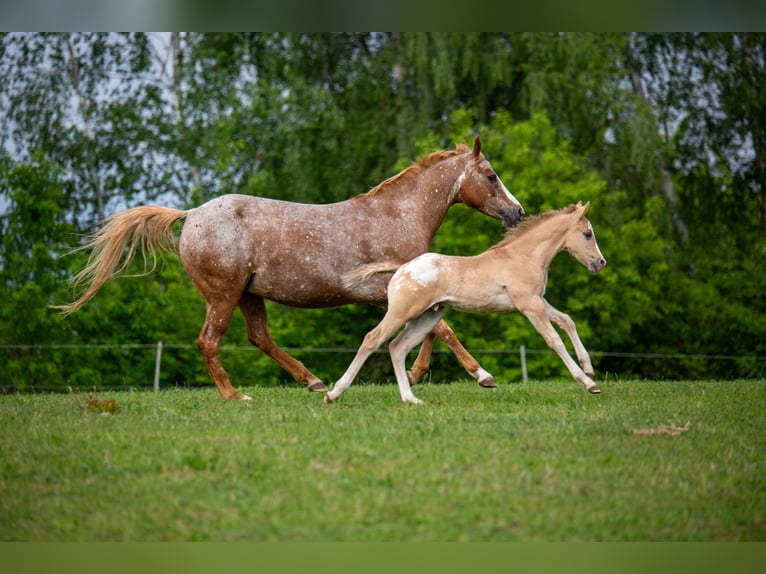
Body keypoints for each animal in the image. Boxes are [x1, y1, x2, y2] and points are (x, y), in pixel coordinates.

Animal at [53, 137, 524, 400]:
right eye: (491, 175)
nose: (518, 212)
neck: (396, 216)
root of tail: (190, 215)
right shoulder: (382, 290)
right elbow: (442, 329)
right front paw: (482, 376)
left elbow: (432, 328)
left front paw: (415, 372)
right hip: (223, 295)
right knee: (209, 342)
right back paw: (235, 396)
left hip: (249, 295)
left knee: (259, 338)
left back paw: (312, 382)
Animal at [325, 202, 606, 405]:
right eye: (587, 233)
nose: (600, 262)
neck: (523, 256)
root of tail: (401, 268)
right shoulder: (529, 305)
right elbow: (554, 340)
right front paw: (588, 383)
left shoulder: (538, 301)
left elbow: (567, 321)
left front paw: (589, 368)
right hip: (403, 312)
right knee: (372, 339)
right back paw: (333, 393)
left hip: (428, 316)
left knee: (397, 347)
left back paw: (411, 399)